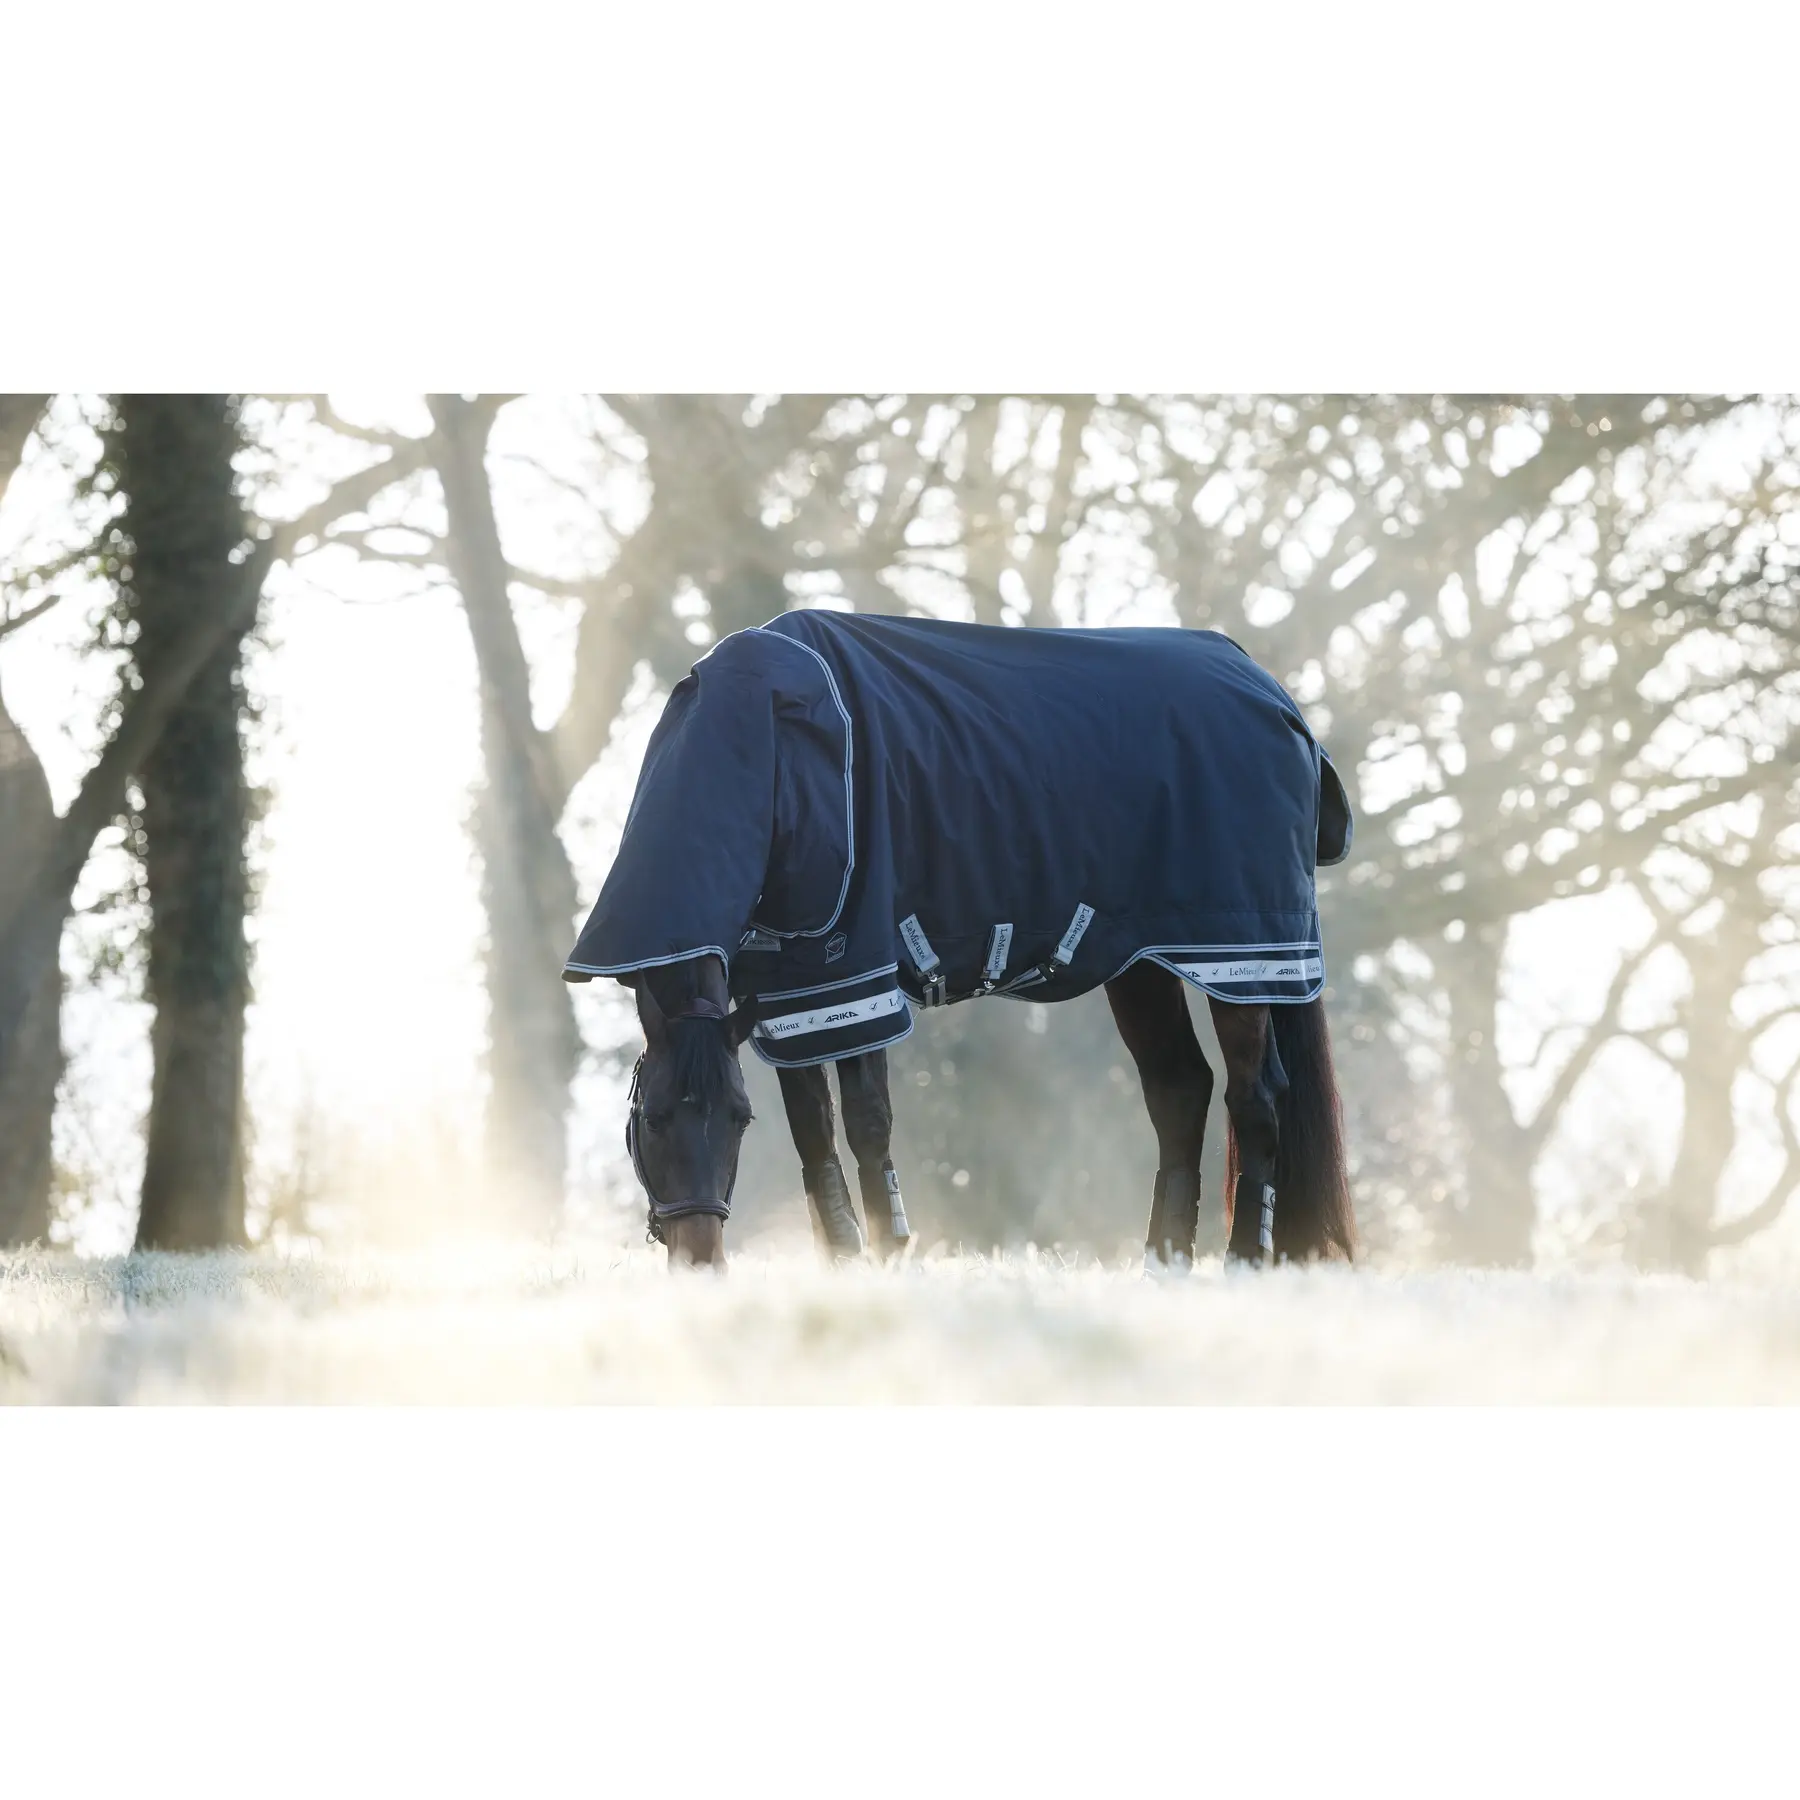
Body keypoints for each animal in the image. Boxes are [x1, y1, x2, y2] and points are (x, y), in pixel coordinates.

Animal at [566, 610, 1356, 1271]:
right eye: (652, 1118)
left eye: (735, 1120)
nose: (700, 1261)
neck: (773, 751)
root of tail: (1273, 695)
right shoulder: (789, 991)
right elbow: (813, 1131)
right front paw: (843, 1260)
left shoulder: (857, 971)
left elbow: (868, 1122)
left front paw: (890, 1255)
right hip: (1145, 964)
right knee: (1179, 1092)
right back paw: (1164, 1263)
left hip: (1242, 960)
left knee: (1255, 1097)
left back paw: (1246, 1260)